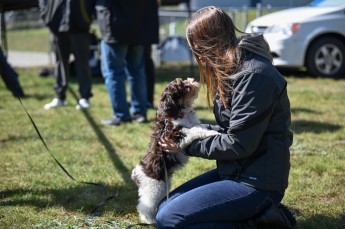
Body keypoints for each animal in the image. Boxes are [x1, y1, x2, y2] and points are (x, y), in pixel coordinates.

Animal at [130, 78, 219, 224]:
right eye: (183, 87)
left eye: (184, 81)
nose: (193, 80)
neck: (179, 111)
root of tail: (136, 173)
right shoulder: (176, 136)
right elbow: (195, 130)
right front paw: (213, 133)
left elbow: (199, 126)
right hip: (154, 187)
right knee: (144, 205)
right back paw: (149, 220)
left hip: (163, 186)